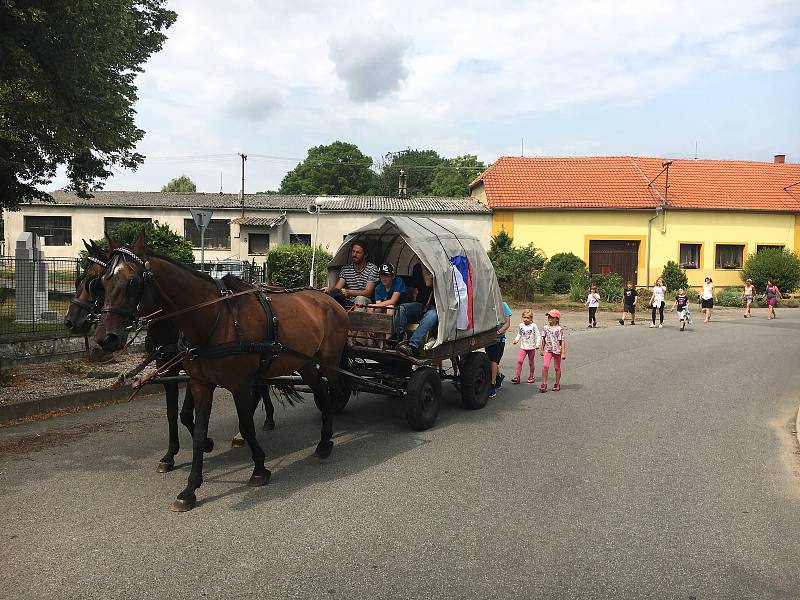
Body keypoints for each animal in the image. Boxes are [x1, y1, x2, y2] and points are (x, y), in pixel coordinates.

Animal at [94, 234, 350, 510]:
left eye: (132, 282)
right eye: (103, 281)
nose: (105, 338)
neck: (214, 319)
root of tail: (329, 299)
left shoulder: (240, 384)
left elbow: (246, 425)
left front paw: (259, 468)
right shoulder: (200, 383)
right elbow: (197, 431)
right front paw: (190, 488)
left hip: (328, 362)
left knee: (331, 393)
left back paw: (326, 440)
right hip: (304, 363)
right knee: (322, 393)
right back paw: (324, 441)